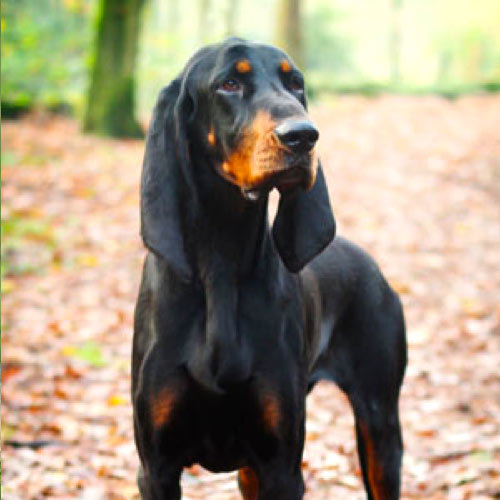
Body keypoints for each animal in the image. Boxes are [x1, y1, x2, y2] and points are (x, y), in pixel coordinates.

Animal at [132, 37, 406, 498]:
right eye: (228, 83)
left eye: (295, 84)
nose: (303, 136)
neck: (221, 261)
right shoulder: (156, 468)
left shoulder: (282, 465)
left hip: (379, 423)